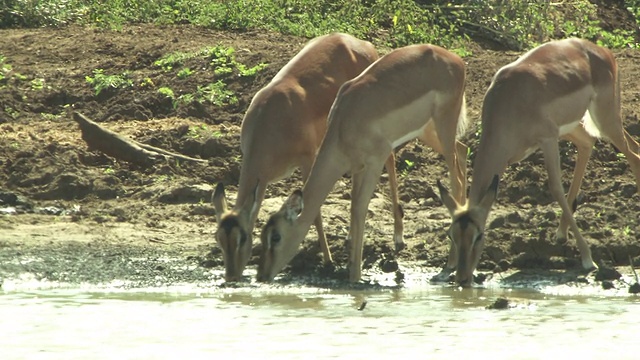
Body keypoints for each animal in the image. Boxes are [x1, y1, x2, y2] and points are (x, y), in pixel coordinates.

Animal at [212, 32, 408, 282]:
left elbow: (315, 214)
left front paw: (328, 260)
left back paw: (398, 238)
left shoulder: (307, 159)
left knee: (390, 159)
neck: (271, 121)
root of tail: (359, 43)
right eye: (219, 238)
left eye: (243, 237)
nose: (232, 276)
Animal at [258, 43, 470, 282]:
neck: (343, 124)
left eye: (276, 236)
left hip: (443, 126)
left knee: (457, 180)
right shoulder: (357, 167)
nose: (262, 275)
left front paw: (355, 275)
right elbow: (352, 207)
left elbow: (360, 207)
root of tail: (457, 60)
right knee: (463, 151)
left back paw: (448, 266)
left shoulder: (375, 161)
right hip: (428, 130)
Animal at [438, 37, 640, 286]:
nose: (463, 279)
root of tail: (599, 50)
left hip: (605, 118)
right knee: (590, 143)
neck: (509, 101)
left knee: (633, 155)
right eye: (451, 236)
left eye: (479, 235)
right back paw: (561, 234)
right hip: (575, 127)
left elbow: (555, 188)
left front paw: (588, 260)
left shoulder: (548, 139)